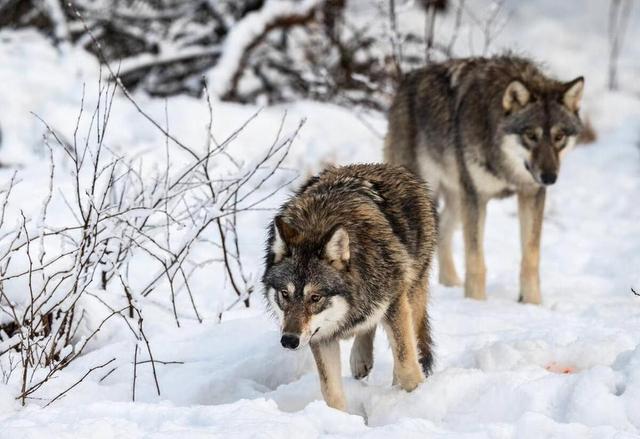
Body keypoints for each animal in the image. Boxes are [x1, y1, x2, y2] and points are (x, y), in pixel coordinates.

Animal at [262, 164, 438, 412]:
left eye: (315, 297)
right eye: (285, 294)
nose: (289, 340)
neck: (317, 225)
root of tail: (386, 166)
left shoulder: (395, 302)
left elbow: (407, 367)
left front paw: (413, 400)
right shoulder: (321, 336)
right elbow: (331, 393)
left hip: (410, 293)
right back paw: (360, 359)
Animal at [384, 55, 584, 304]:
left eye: (559, 137)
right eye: (531, 135)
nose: (549, 177)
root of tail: (405, 81)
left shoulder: (531, 194)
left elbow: (530, 258)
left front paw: (532, 304)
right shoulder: (476, 197)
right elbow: (475, 261)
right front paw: (476, 302)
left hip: (457, 199)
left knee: (443, 230)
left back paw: (450, 282)